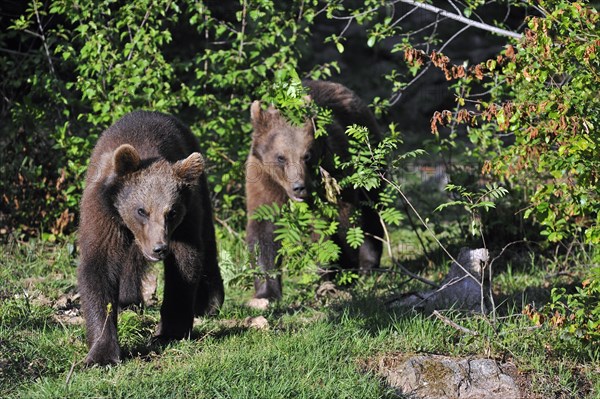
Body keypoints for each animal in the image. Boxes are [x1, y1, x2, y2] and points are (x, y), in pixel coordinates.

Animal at [77, 110, 223, 366]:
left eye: (171, 212)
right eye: (141, 210)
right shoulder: (103, 212)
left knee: (207, 238)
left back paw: (209, 302)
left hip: (199, 189)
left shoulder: (185, 217)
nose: (159, 248)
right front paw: (101, 353)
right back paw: (128, 300)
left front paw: (170, 331)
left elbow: (185, 264)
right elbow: (99, 266)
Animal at [245, 79, 382, 302]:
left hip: (368, 153)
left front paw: (340, 272)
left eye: (307, 155)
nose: (299, 187)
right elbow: (263, 230)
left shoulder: (335, 170)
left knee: (372, 208)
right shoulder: (263, 179)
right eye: (281, 157)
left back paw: (367, 265)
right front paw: (266, 293)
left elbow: (339, 222)